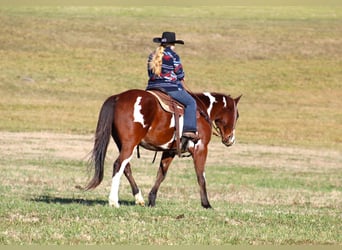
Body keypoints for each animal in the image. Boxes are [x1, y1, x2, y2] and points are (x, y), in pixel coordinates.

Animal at [85, 89, 240, 208]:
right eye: (237, 115)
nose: (230, 139)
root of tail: (117, 97)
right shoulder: (201, 148)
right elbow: (201, 176)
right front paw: (206, 204)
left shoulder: (170, 151)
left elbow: (161, 174)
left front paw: (152, 200)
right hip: (129, 144)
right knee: (119, 164)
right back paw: (113, 201)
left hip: (123, 144)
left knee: (126, 167)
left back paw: (139, 199)